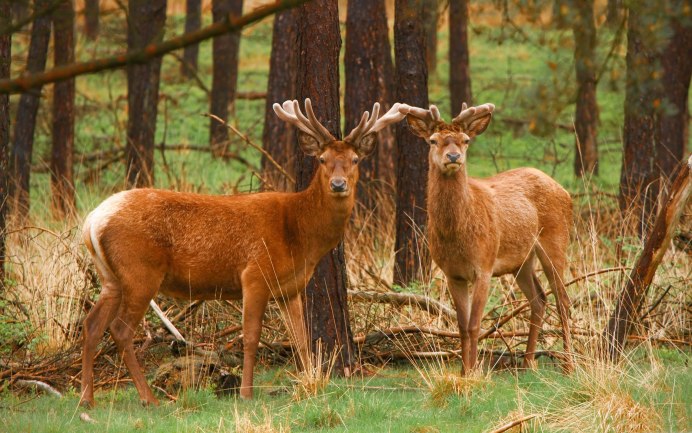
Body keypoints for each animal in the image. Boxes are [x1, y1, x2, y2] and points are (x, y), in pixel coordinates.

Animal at [79, 98, 406, 407]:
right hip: (140, 271)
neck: (299, 235)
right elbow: (250, 337)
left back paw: (87, 399)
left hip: (111, 278)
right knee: (120, 330)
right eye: (323, 159)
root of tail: (92, 220)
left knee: (92, 325)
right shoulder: (255, 275)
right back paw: (148, 398)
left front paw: (311, 384)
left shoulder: (290, 288)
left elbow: (301, 339)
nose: (338, 184)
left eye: (354, 159)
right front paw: (247, 393)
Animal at [397, 102, 574, 373]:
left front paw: (472, 372)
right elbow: (461, 326)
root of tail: (565, 191)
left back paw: (568, 365)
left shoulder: (485, 265)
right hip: (522, 261)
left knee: (563, 300)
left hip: (556, 241)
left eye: (466, 140)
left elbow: (474, 324)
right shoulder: (452, 273)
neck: (457, 235)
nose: (453, 157)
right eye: (433, 140)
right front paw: (463, 371)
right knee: (539, 298)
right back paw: (527, 362)